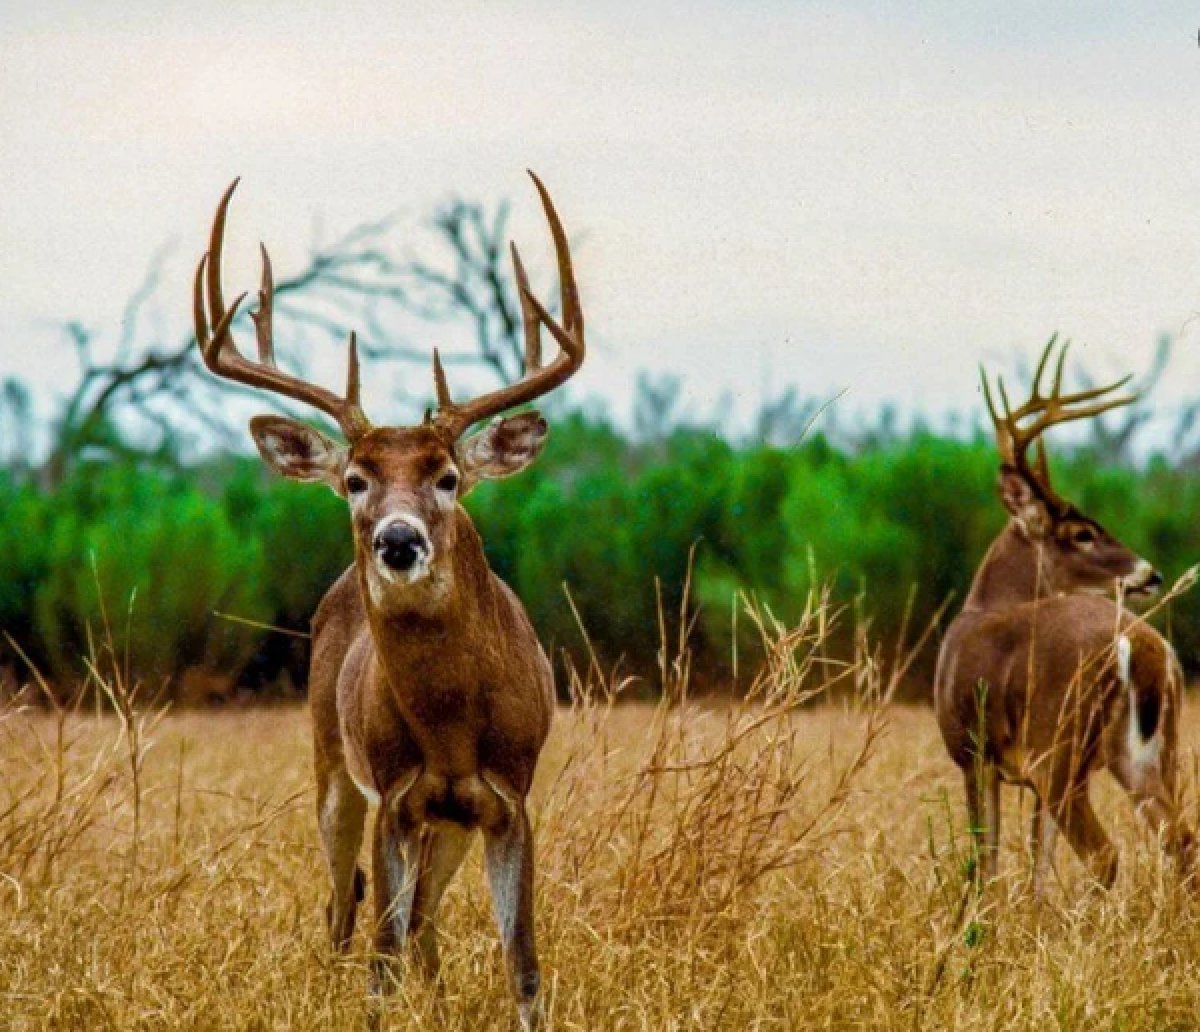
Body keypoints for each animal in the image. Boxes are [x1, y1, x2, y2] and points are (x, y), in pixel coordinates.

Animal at [190, 169, 585, 1022]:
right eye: (354, 479)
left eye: (448, 476)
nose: (398, 540)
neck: (452, 724)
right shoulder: (396, 796)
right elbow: (381, 952)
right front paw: (376, 1010)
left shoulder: (509, 796)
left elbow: (524, 964)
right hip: (332, 767)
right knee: (347, 910)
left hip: (447, 822)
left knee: (425, 922)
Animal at [931, 338, 1195, 892]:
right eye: (1082, 533)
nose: (1151, 573)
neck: (983, 605)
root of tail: (1143, 648)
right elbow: (1038, 864)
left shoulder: (975, 753)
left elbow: (986, 863)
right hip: (1152, 754)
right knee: (1182, 843)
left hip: (1058, 748)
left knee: (1104, 854)